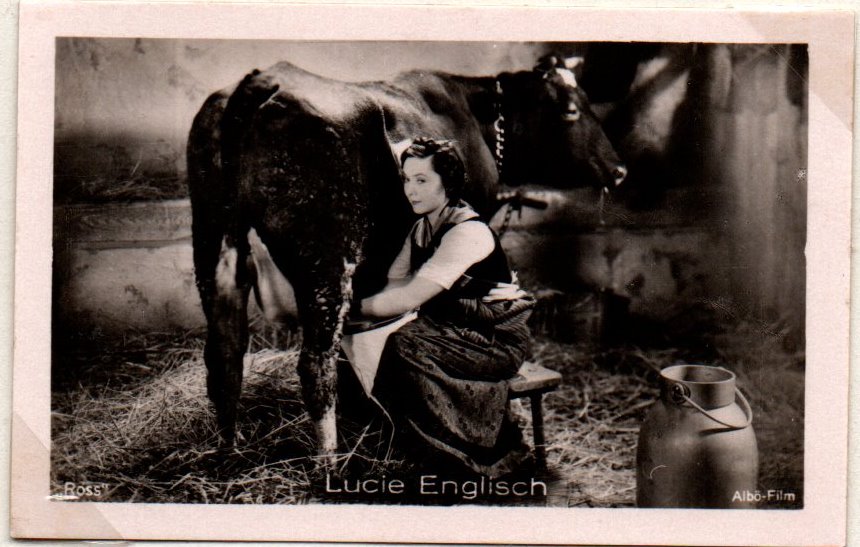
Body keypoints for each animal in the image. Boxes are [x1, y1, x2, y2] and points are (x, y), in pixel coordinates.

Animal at [187, 56, 626, 464]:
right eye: (570, 110)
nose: (619, 170)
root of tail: (264, 78)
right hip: (326, 259)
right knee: (315, 364)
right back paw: (330, 466)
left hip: (213, 239)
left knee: (225, 352)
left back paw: (229, 451)